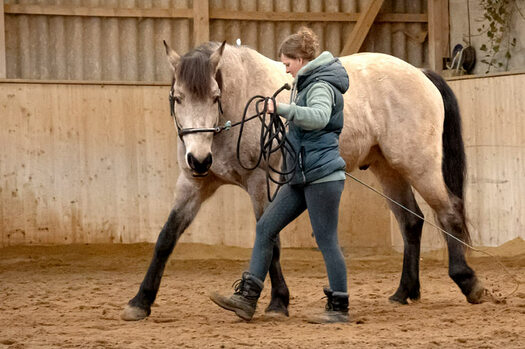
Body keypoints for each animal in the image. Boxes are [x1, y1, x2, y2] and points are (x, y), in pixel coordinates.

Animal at [121, 42, 486, 320]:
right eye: (176, 97)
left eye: (214, 95)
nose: (198, 159)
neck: (238, 108)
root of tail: (420, 73)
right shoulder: (193, 185)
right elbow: (166, 237)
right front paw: (140, 302)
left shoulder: (260, 184)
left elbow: (271, 241)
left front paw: (277, 302)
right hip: (388, 169)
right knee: (412, 221)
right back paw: (403, 292)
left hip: (419, 165)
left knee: (448, 212)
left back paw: (468, 282)